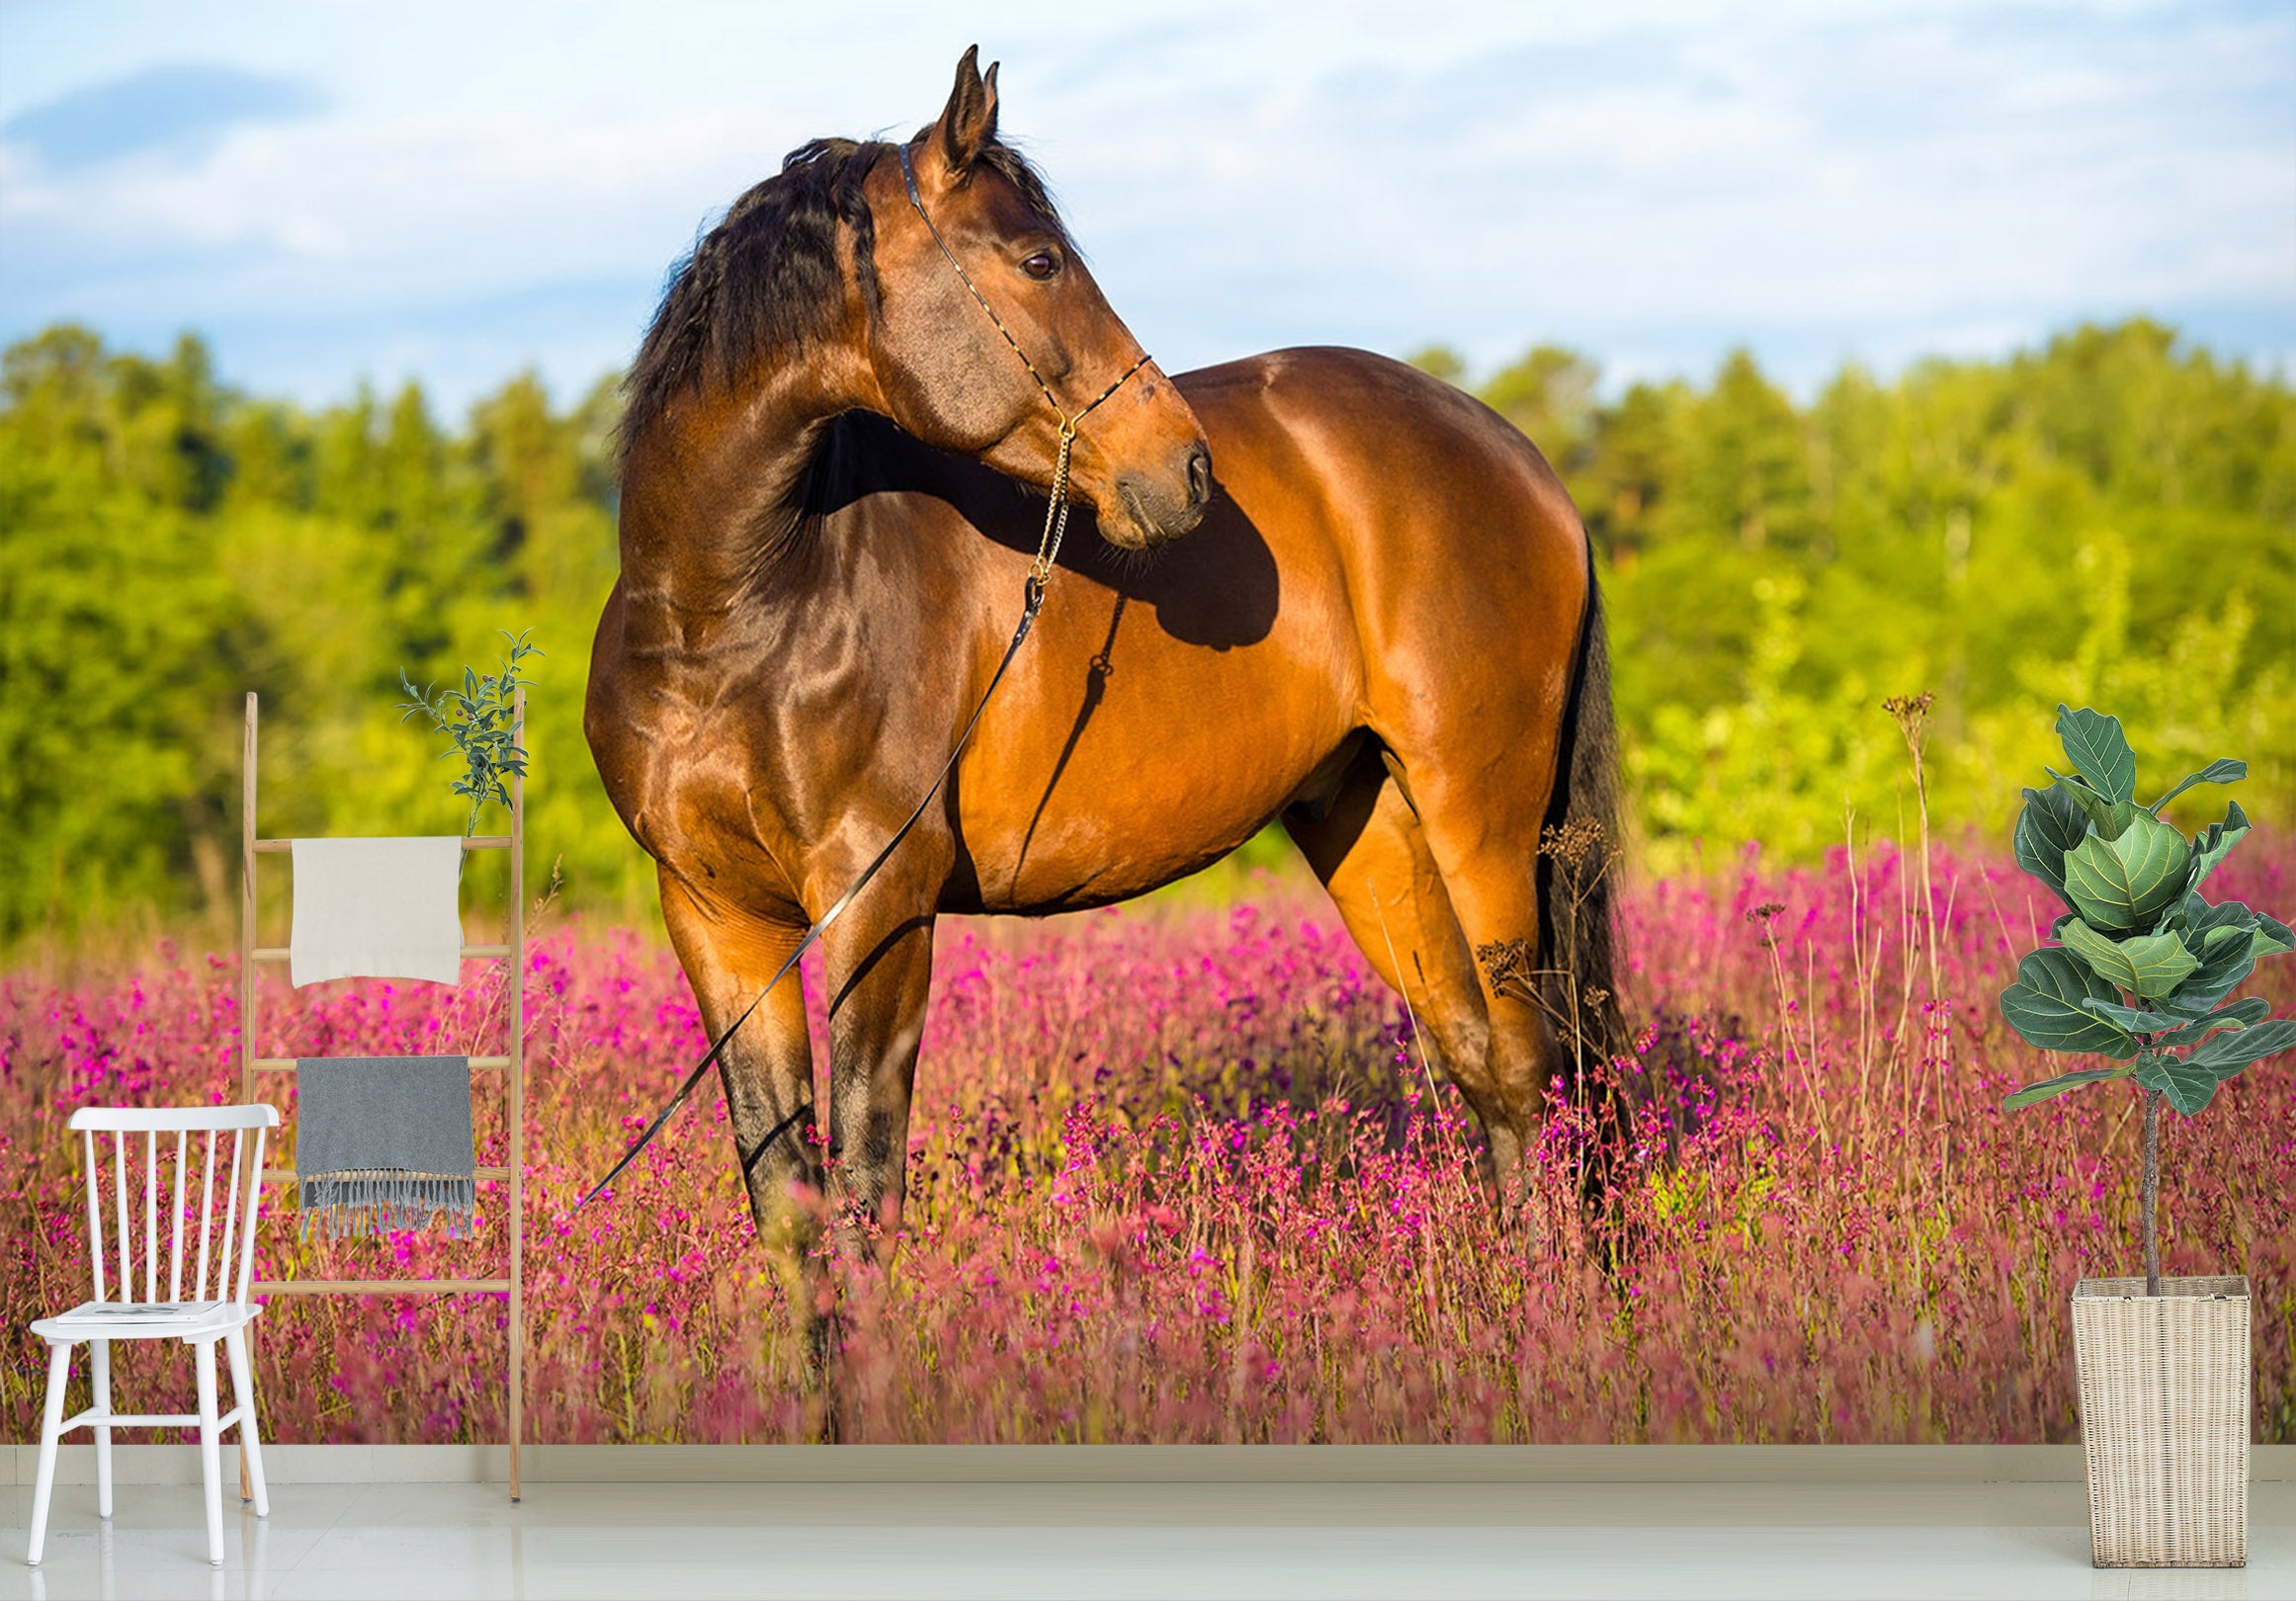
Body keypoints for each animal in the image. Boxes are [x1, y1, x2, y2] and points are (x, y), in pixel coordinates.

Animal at [586, 48, 1624, 1309]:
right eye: (1039, 258)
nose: (1186, 470)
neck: (733, 607)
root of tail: (1517, 455)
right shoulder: (717, 920)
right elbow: (789, 1207)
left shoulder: (880, 904)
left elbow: (867, 1194)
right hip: (1368, 824)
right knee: (1487, 1074)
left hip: (1481, 817)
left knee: (1535, 1070)